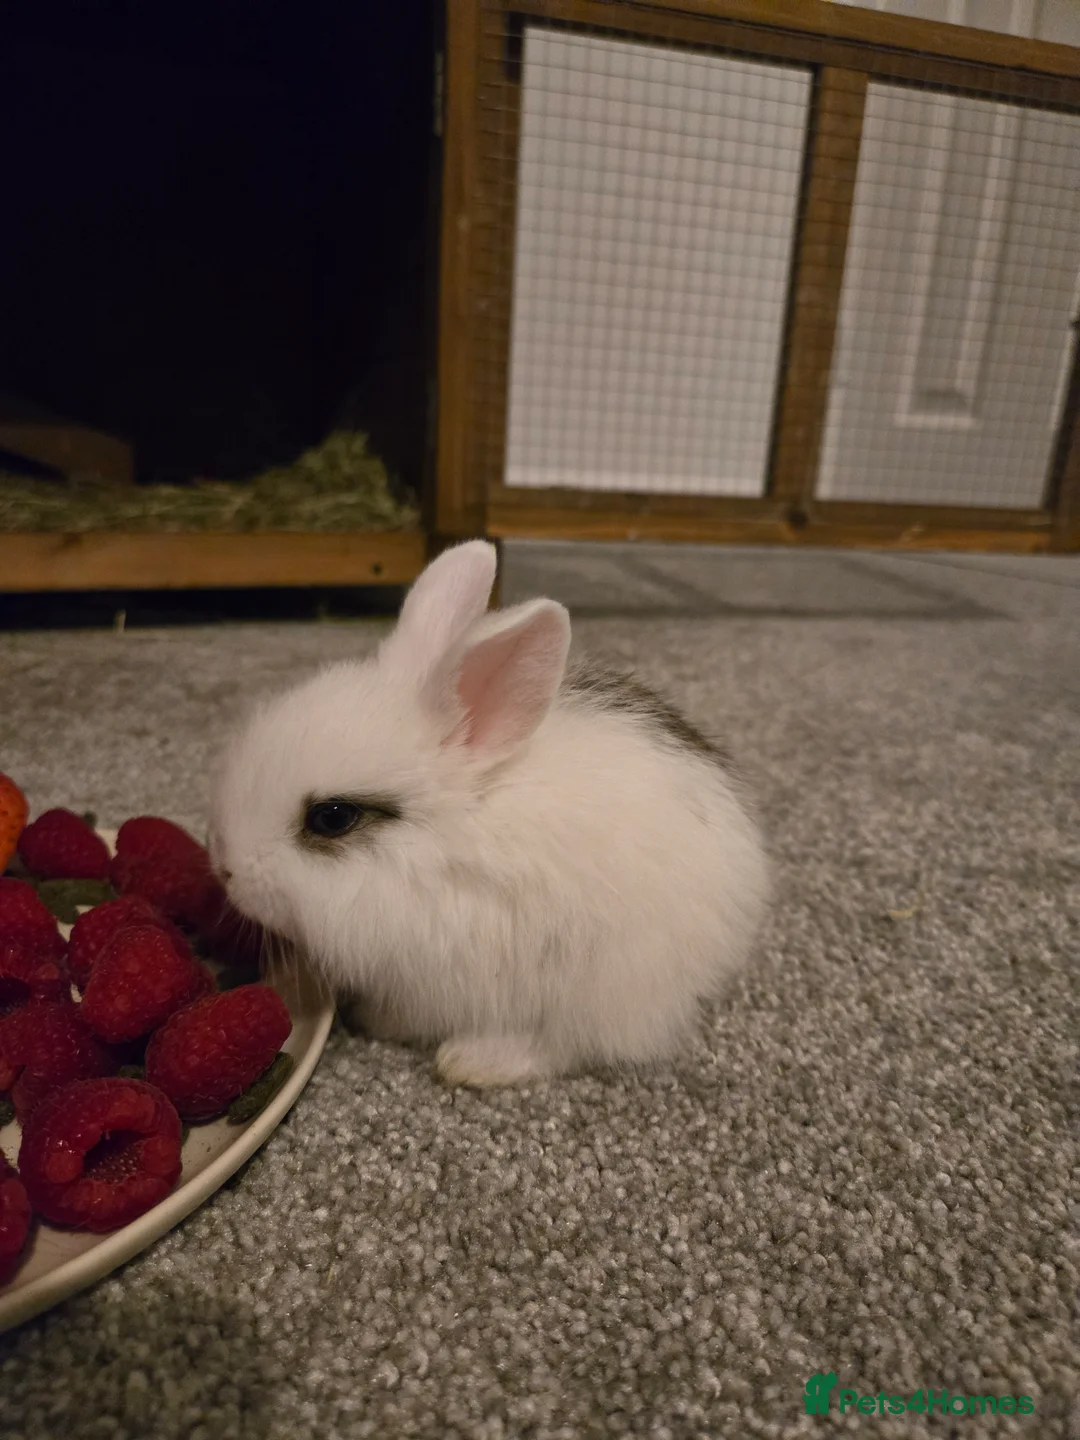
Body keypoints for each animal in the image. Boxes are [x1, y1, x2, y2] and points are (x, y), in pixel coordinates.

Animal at [209, 540, 769, 1088]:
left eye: (332, 818)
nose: (226, 871)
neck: (440, 846)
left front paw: (370, 1021)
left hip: (604, 984)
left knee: (565, 1044)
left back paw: (473, 1062)